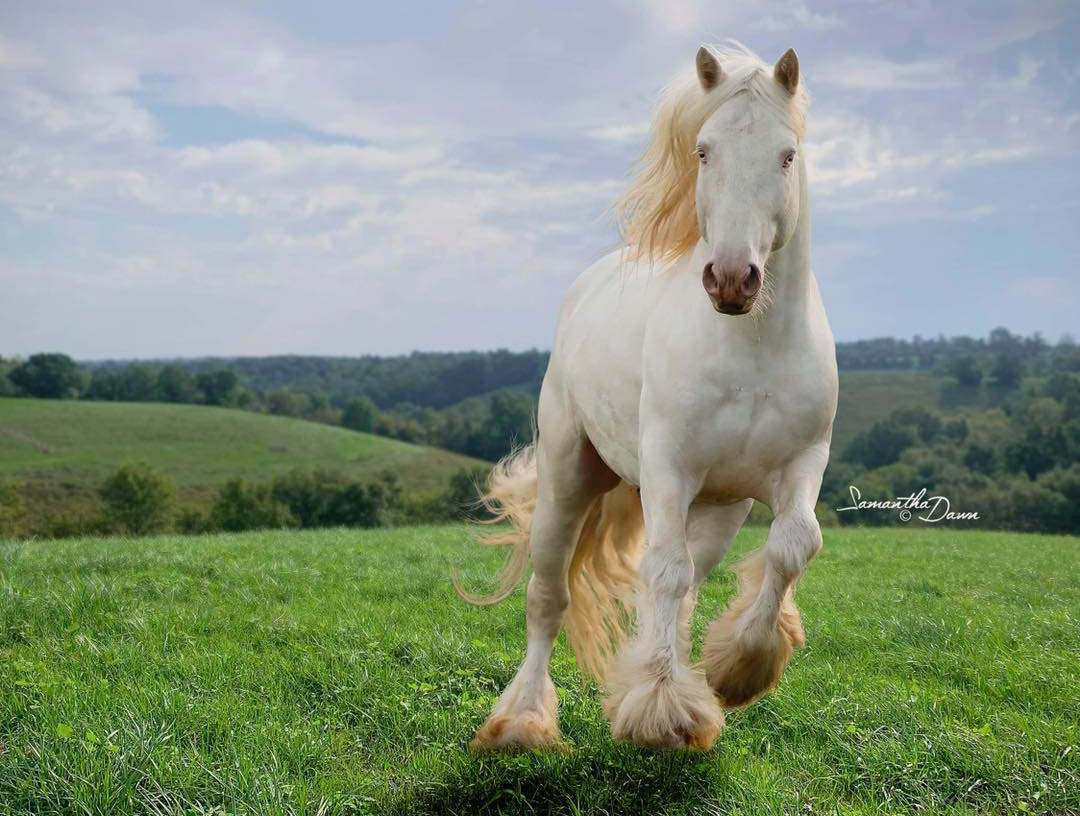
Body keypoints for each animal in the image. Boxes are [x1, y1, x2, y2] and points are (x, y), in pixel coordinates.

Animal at [460, 41, 838, 746]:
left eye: (787, 154)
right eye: (704, 151)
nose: (732, 279)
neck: (752, 351)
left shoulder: (802, 463)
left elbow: (793, 545)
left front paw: (739, 669)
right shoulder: (668, 468)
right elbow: (662, 572)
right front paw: (662, 708)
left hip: (716, 509)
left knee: (687, 586)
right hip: (569, 475)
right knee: (549, 596)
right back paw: (522, 720)